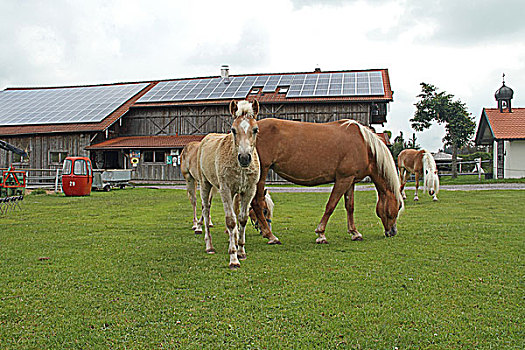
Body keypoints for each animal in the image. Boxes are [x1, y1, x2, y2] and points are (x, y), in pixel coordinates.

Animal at [195, 100, 260, 270]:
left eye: (255, 129)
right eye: (233, 130)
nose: (244, 158)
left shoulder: (248, 190)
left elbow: (242, 219)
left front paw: (241, 250)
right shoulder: (225, 189)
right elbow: (231, 221)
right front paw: (233, 258)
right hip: (205, 185)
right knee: (206, 210)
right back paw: (209, 246)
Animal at [249, 117, 402, 243]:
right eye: (399, 206)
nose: (393, 232)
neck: (364, 145)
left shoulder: (350, 180)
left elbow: (350, 206)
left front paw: (355, 233)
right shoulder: (343, 179)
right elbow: (331, 205)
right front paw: (321, 234)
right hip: (261, 174)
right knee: (257, 203)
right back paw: (271, 236)